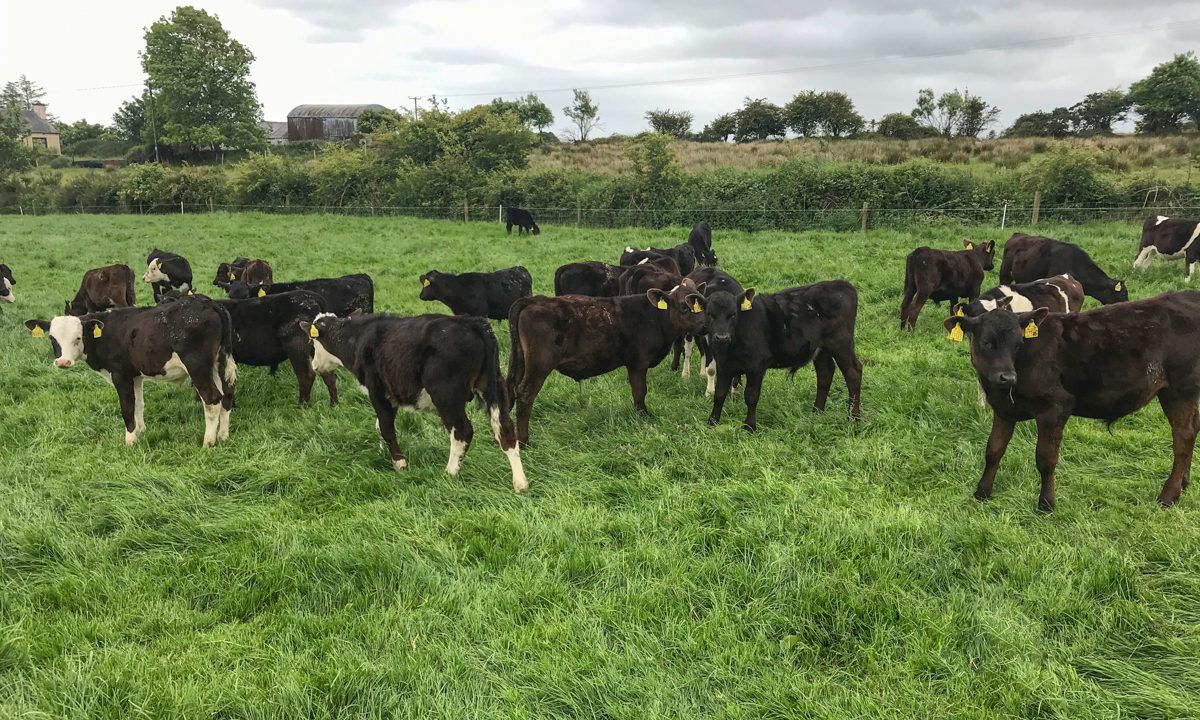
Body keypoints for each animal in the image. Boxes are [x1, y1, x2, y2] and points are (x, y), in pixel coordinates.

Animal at [25, 296, 235, 447]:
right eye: (52, 338)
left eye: (78, 337)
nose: (63, 362)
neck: (105, 333)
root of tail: (209, 303)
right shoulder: (135, 376)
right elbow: (138, 404)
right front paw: (140, 431)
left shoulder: (120, 376)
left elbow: (127, 408)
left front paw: (130, 441)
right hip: (219, 363)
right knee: (226, 395)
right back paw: (223, 435)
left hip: (197, 366)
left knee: (212, 400)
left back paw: (208, 442)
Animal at [303, 312, 528, 492]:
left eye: (312, 344)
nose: (313, 366)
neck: (358, 338)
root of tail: (473, 323)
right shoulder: (392, 395)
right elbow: (379, 426)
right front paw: (382, 451)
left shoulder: (377, 393)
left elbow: (386, 427)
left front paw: (399, 463)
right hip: (494, 388)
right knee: (506, 430)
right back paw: (520, 483)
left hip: (446, 397)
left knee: (462, 432)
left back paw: (449, 472)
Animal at [507, 281, 709, 445]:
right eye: (684, 307)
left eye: (703, 304)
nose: (705, 326)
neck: (656, 317)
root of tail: (535, 300)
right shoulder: (638, 362)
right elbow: (640, 391)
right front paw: (643, 416)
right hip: (539, 365)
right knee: (525, 395)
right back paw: (524, 442)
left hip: (521, 362)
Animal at [702, 281, 862, 431]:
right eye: (710, 314)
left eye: (733, 314)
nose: (722, 337)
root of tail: (841, 284)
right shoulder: (724, 365)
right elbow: (719, 394)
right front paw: (712, 422)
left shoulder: (757, 366)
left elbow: (751, 396)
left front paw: (749, 426)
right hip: (821, 349)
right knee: (825, 373)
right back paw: (816, 412)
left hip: (841, 343)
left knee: (853, 372)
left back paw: (853, 418)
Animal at [943, 291, 1200, 511]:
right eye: (987, 342)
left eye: (1018, 344)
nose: (1007, 377)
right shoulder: (1004, 411)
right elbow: (993, 450)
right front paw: (982, 492)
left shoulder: (1055, 408)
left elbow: (1045, 458)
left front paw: (1046, 503)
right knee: (1193, 428)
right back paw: (1184, 483)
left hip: (1180, 390)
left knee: (1183, 436)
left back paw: (1168, 495)